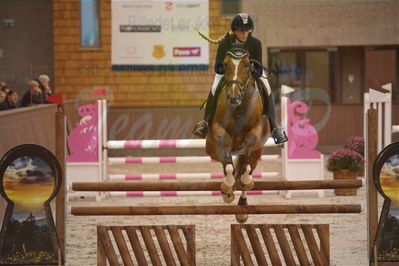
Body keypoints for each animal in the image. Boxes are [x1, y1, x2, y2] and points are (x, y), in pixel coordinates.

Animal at [206, 46, 272, 223]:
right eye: (225, 65)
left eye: (247, 66)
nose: (234, 97)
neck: (239, 108)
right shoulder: (220, 135)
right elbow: (229, 167)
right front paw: (227, 187)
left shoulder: (254, 136)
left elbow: (245, 169)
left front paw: (245, 181)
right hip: (213, 148)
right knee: (227, 163)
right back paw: (227, 192)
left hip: (257, 152)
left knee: (247, 166)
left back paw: (242, 208)